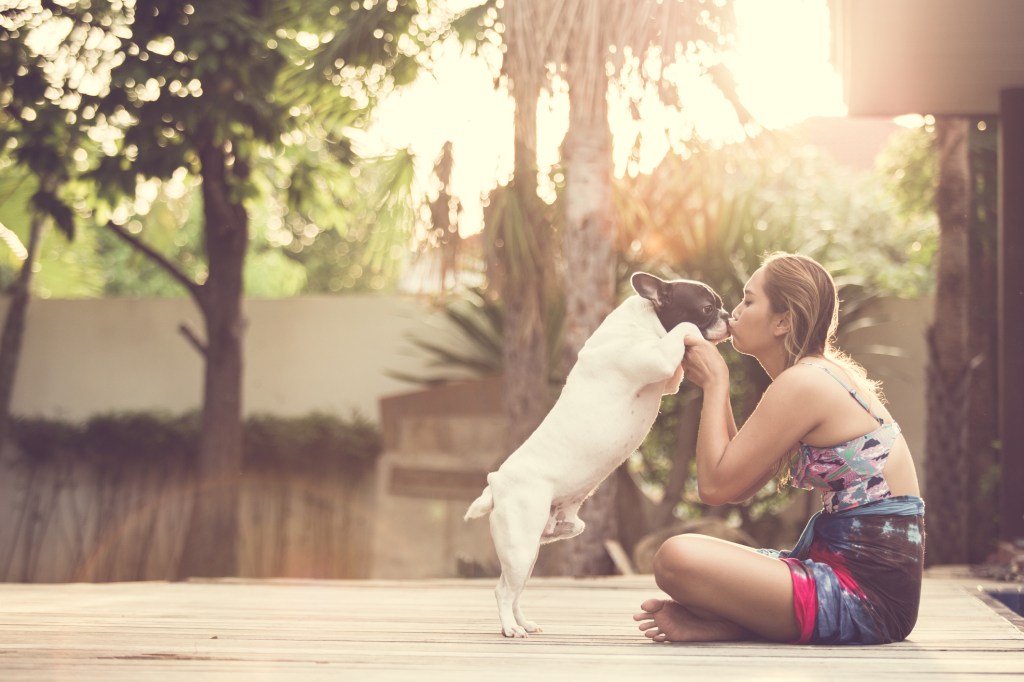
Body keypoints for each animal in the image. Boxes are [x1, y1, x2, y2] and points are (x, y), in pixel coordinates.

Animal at [464, 272, 729, 638]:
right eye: (706, 308)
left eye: (721, 305)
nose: (728, 316)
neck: (644, 320)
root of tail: (496, 483)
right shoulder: (657, 357)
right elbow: (682, 329)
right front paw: (691, 332)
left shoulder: (665, 377)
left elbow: (674, 376)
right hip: (520, 544)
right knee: (503, 590)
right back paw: (510, 629)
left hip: (530, 548)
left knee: (515, 590)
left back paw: (524, 623)